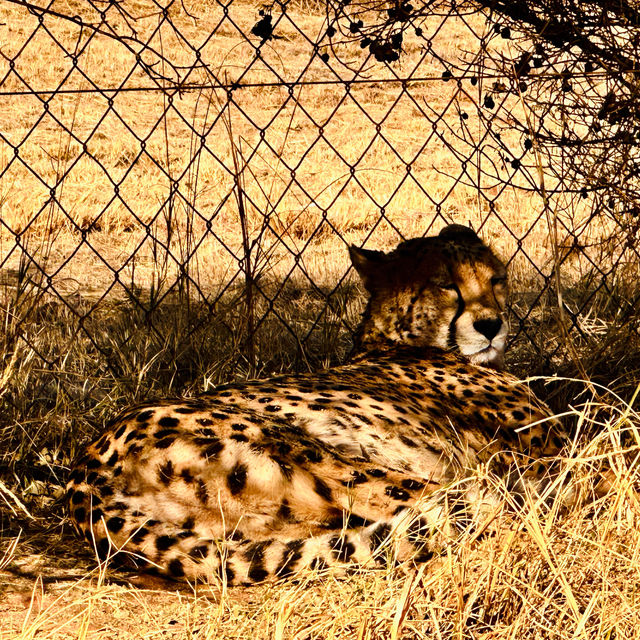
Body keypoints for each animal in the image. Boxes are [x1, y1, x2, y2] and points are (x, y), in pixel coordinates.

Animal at [66, 225, 564, 584]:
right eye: (446, 286)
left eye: (496, 279)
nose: (491, 325)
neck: (396, 339)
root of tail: (87, 472)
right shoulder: (543, 447)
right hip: (324, 457)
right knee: (465, 504)